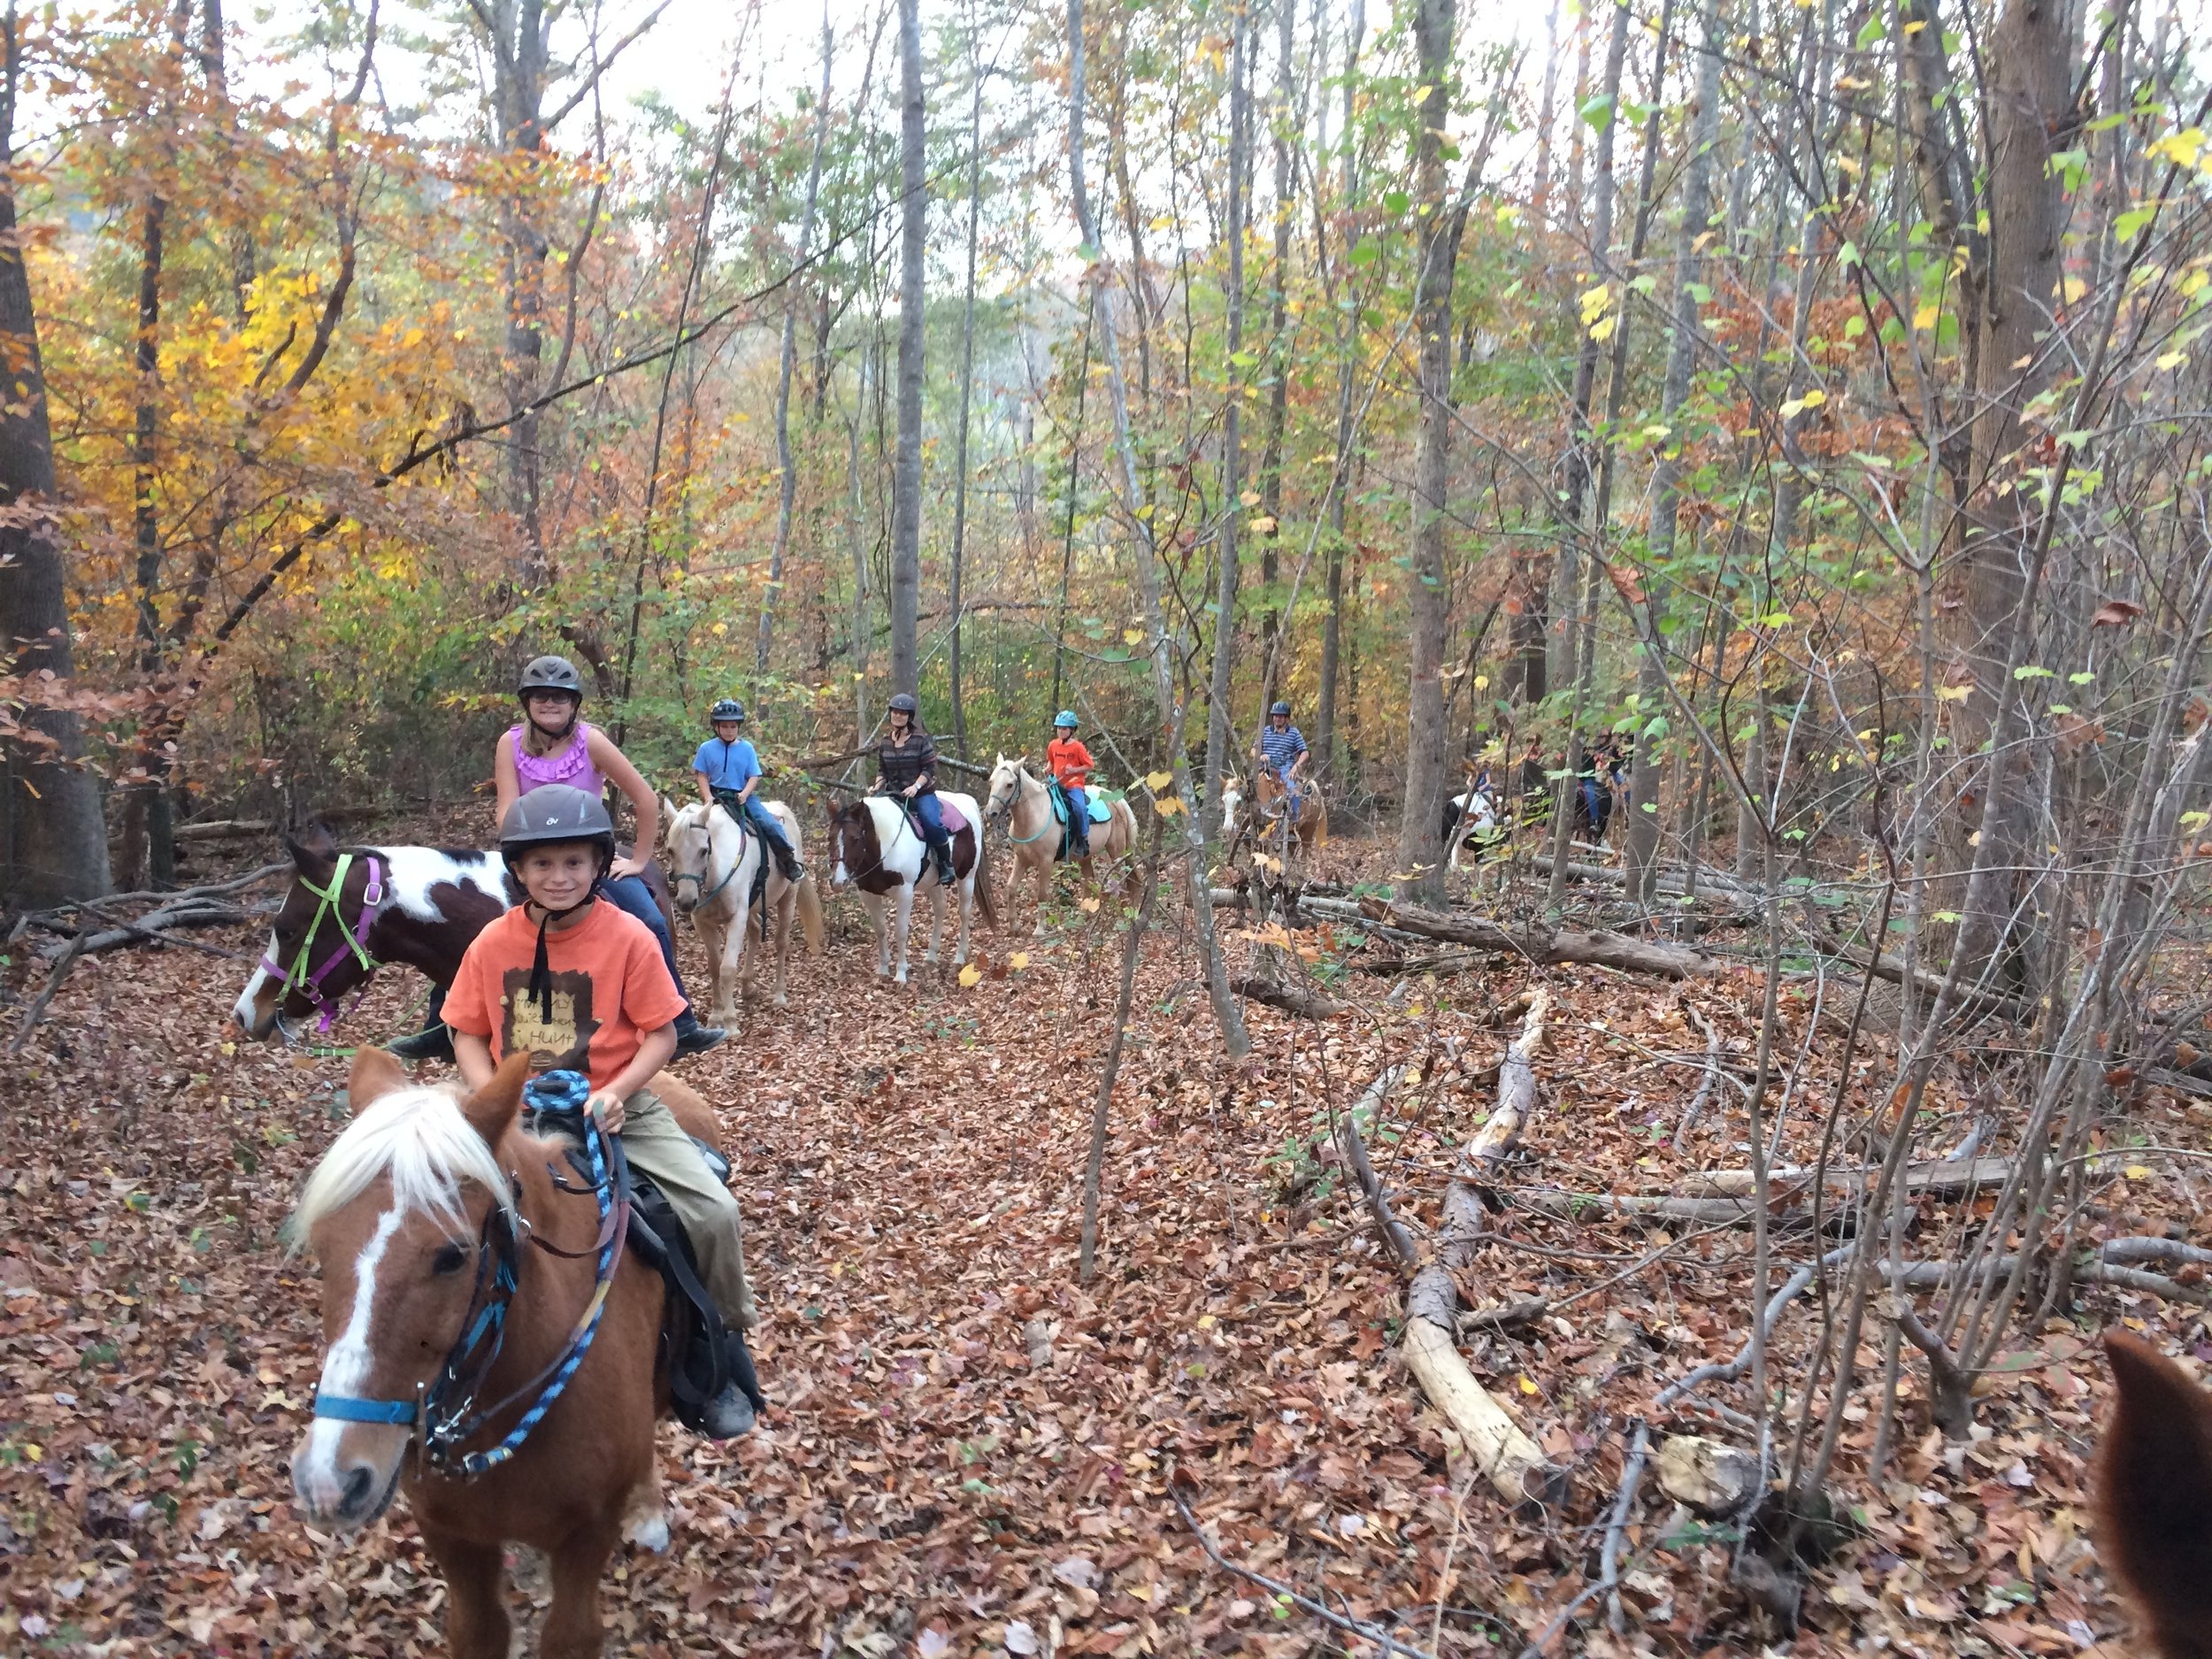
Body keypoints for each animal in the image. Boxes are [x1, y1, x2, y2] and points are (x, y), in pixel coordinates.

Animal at [289, 1053, 721, 1659]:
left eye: (452, 1255)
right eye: (323, 1248)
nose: (331, 1482)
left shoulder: (588, 1533)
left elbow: (571, 1637)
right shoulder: (451, 1534)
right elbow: (480, 1630)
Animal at [664, 792, 832, 1013]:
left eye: (703, 850)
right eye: (670, 851)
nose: (685, 902)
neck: (717, 873)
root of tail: (782, 808)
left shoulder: (737, 918)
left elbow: (727, 969)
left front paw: (730, 1018)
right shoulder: (703, 923)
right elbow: (714, 967)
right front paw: (717, 1013)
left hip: (788, 897)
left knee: (781, 942)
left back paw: (779, 994)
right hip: (752, 905)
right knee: (755, 931)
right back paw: (747, 986)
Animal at [827, 792, 1000, 987]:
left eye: (855, 839)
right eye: (829, 838)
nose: (838, 881)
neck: (884, 844)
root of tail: (966, 800)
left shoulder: (905, 893)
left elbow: (901, 931)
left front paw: (901, 973)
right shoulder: (868, 894)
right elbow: (880, 929)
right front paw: (883, 968)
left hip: (967, 877)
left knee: (964, 912)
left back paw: (960, 956)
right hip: (933, 883)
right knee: (940, 909)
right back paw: (931, 955)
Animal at [982, 752, 1141, 938]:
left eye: (1009, 784)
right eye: (991, 781)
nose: (990, 813)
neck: (1034, 816)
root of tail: (1118, 800)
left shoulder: (1046, 862)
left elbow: (1042, 894)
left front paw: (1040, 928)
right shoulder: (1021, 859)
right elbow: (1011, 888)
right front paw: (1014, 926)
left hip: (1116, 851)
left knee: (1122, 879)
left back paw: (1120, 919)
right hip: (1086, 856)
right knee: (1089, 880)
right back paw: (1083, 918)